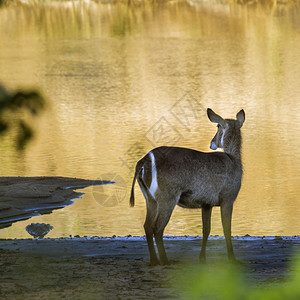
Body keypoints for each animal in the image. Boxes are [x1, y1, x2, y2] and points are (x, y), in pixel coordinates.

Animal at [130, 108, 245, 264]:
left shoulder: (206, 204)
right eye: (218, 126)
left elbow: (206, 230)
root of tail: (144, 161)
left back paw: (154, 261)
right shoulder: (228, 199)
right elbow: (227, 229)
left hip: (150, 198)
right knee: (158, 228)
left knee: (147, 226)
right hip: (167, 198)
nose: (212, 143)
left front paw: (202, 258)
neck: (233, 159)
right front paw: (232, 259)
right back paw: (165, 260)